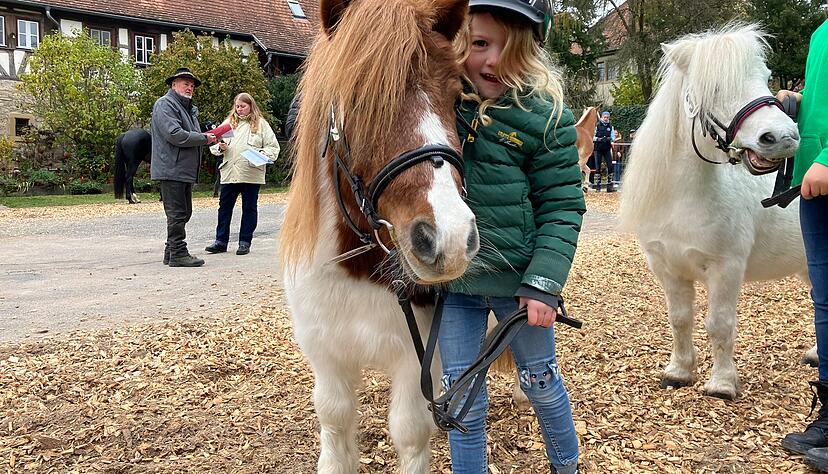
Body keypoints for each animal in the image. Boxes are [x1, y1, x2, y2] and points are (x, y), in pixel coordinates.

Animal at [279, 0, 476, 472]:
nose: (449, 237)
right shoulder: (325, 354)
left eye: (457, 98)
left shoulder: (415, 359)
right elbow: (334, 420)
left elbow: (410, 432)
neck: (359, 267)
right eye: (358, 100)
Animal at [618, 23, 813, 400]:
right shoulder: (668, 269)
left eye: (766, 77)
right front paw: (679, 372)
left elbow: (719, 324)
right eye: (716, 87)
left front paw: (722, 383)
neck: (682, 200)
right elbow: (680, 319)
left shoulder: (726, 269)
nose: (782, 137)